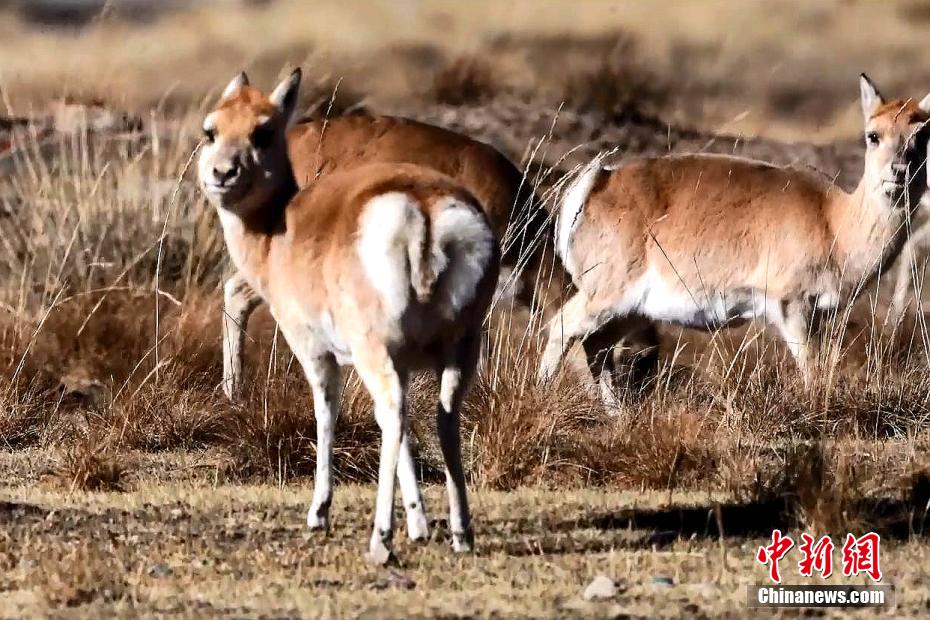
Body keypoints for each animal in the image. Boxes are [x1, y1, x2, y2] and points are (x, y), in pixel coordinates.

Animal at [198, 69, 500, 563]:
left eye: (263, 131)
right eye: (212, 130)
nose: (222, 173)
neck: (279, 228)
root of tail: (423, 208)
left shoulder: (318, 354)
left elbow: (326, 414)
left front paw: (319, 512)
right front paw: (419, 522)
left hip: (379, 352)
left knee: (393, 412)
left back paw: (381, 540)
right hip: (457, 350)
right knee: (441, 418)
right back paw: (460, 533)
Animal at [538, 75, 930, 398]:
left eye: (922, 136)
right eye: (873, 134)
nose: (899, 172)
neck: (832, 218)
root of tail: (600, 180)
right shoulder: (793, 307)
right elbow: (812, 370)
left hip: (628, 310)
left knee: (597, 347)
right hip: (607, 296)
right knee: (561, 327)